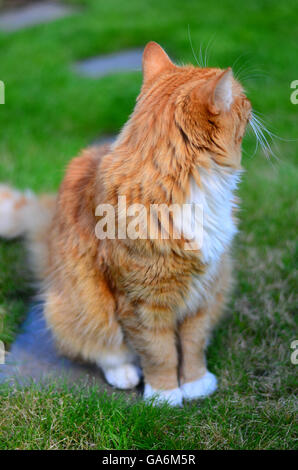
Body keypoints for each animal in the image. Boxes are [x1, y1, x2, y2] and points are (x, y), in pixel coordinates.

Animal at [0, 42, 251, 406]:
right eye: (242, 98)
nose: (251, 102)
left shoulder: (205, 292)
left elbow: (192, 345)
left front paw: (195, 383)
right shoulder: (141, 303)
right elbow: (159, 352)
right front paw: (164, 394)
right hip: (75, 304)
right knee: (102, 346)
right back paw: (124, 373)